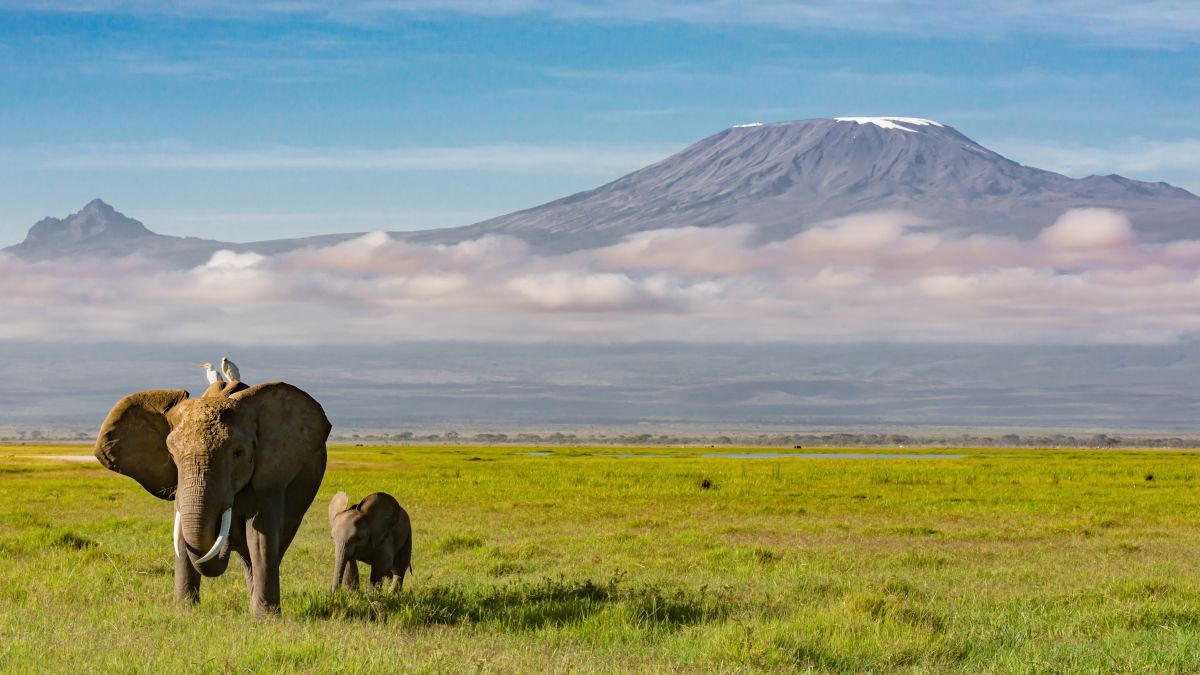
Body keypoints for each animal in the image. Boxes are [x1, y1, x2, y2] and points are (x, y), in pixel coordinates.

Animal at [92, 374, 333, 612]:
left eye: (238, 453)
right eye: (172, 453)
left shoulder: (271, 475)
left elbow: (260, 537)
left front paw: (267, 618)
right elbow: (182, 535)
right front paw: (185, 610)